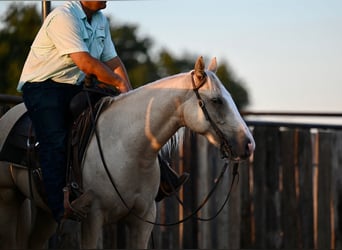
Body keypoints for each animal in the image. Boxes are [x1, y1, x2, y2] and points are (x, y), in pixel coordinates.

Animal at [0, 56, 255, 248]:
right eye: (217, 100)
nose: (249, 144)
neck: (128, 148)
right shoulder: (93, 217)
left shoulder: (144, 218)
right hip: (9, 199)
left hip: (45, 210)